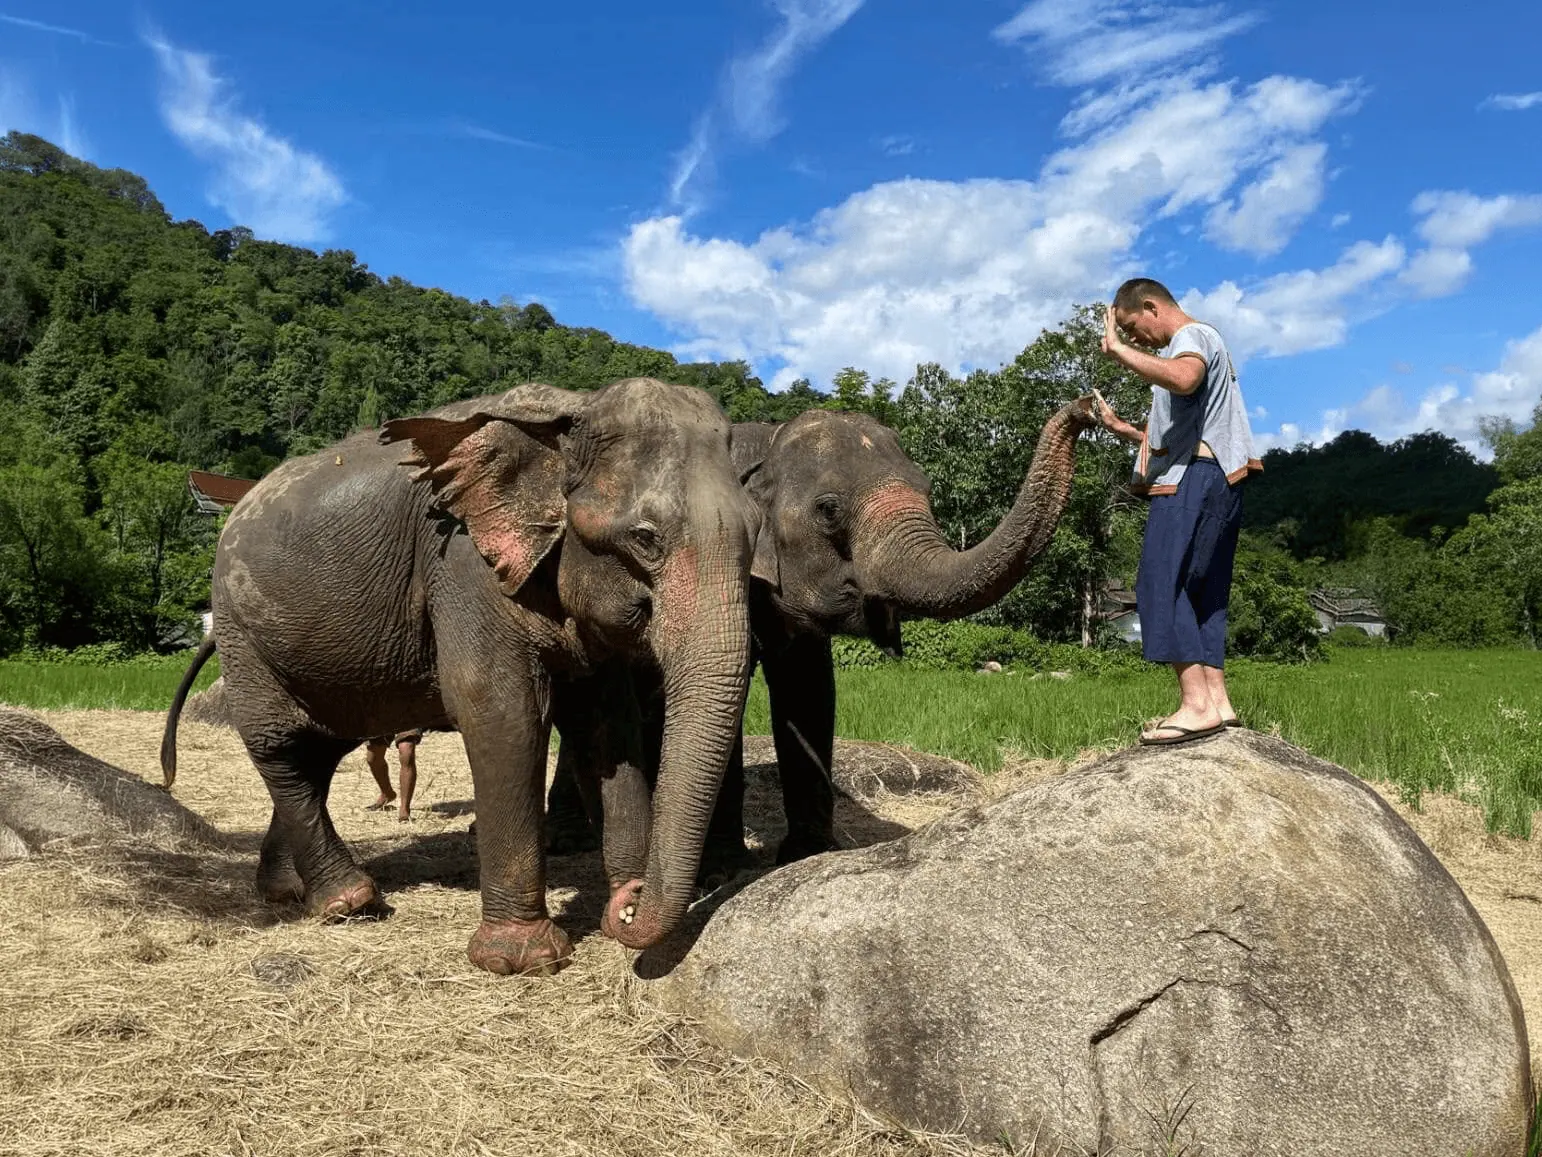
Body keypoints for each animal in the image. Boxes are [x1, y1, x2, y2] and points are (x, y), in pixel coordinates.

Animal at [159, 377, 755, 976]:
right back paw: (348, 901)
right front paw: (523, 959)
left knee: (318, 752)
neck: (570, 411)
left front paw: (617, 909)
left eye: (755, 532)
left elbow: (607, 724)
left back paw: (287, 892)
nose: (631, 904)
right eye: (645, 537)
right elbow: (501, 710)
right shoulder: (462, 562)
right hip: (240, 631)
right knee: (280, 746)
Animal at [546, 393, 1099, 871]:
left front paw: (807, 853)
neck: (766, 442)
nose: (1085, 406)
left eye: (927, 489)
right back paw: (571, 842)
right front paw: (722, 871)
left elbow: (809, 687)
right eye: (829, 509)